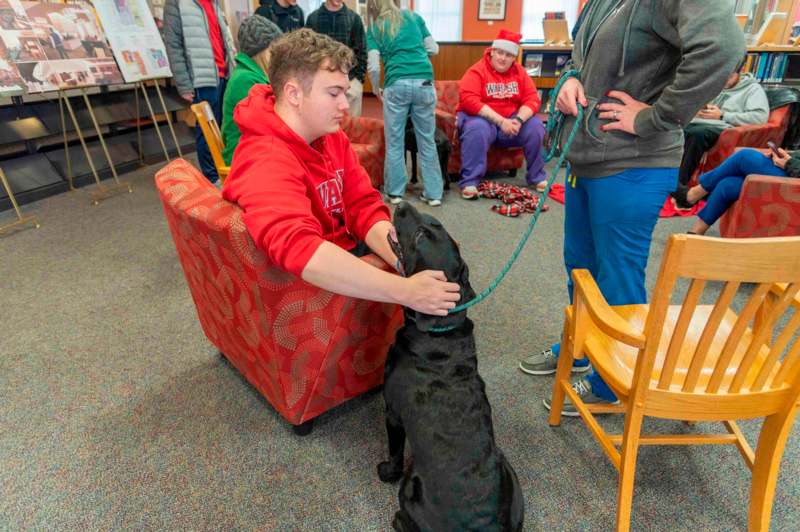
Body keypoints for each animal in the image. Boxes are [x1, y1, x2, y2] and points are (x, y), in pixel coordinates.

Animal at [382, 203, 524, 532]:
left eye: (420, 236)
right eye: (434, 223)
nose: (402, 204)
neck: (440, 331)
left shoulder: (392, 412)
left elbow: (394, 452)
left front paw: (384, 471)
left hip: (411, 487)